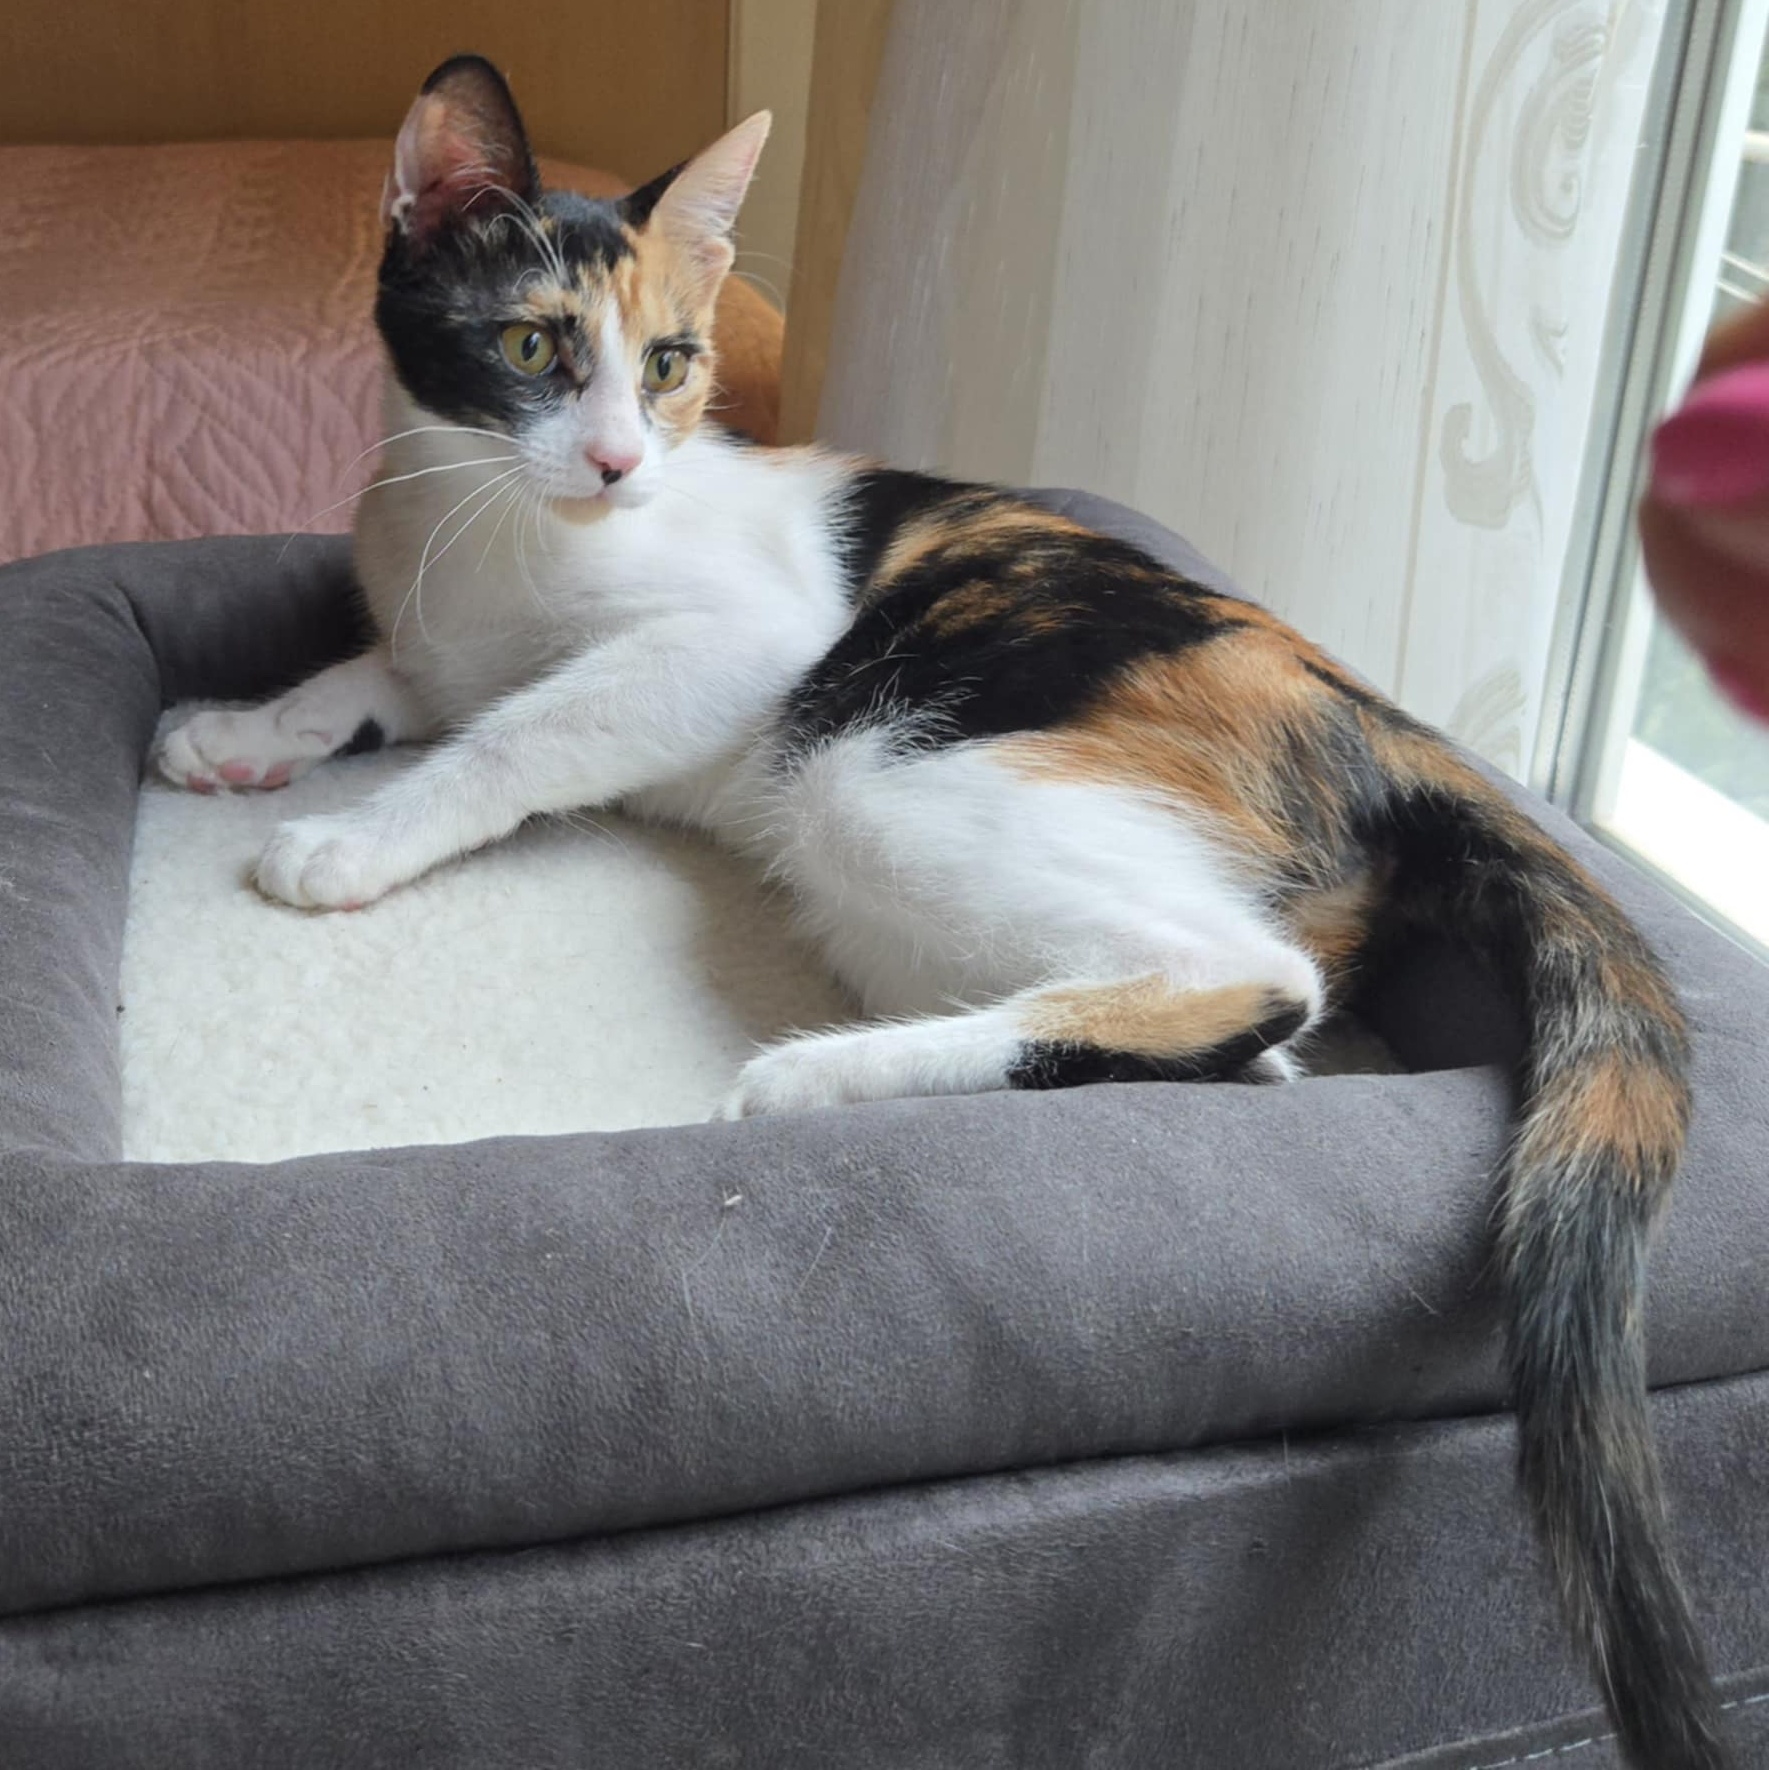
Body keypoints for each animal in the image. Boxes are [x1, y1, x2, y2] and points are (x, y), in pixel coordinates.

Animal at [150, 54, 1724, 1769]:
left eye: (673, 364)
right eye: (531, 348)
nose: (620, 462)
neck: (486, 531)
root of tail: (1376, 721)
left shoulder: (730, 645)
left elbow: (504, 740)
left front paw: (348, 839)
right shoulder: (436, 625)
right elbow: (380, 672)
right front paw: (244, 729)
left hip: (871, 757)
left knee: (1248, 976)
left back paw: (817, 1080)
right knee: (1258, 1048)